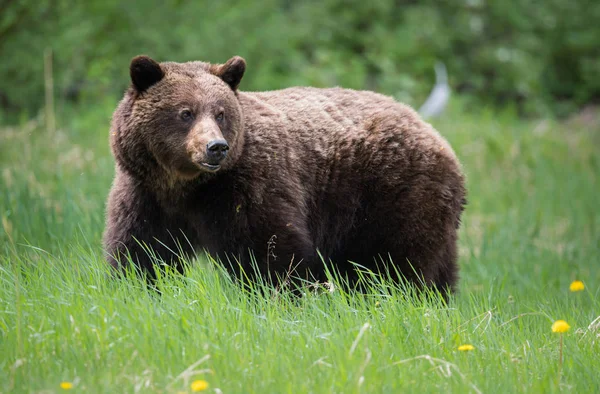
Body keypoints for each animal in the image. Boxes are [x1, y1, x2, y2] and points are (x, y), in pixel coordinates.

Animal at [103, 55, 466, 294]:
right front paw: (136, 290)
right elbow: (140, 251)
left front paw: (276, 297)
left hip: (393, 193)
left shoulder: (248, 185)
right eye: (185, 112)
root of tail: (434, 134)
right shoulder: (144, 193)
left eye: (220, 113)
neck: (186, 186)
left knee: (397, 263)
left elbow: (270, 248)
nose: (216, 147)